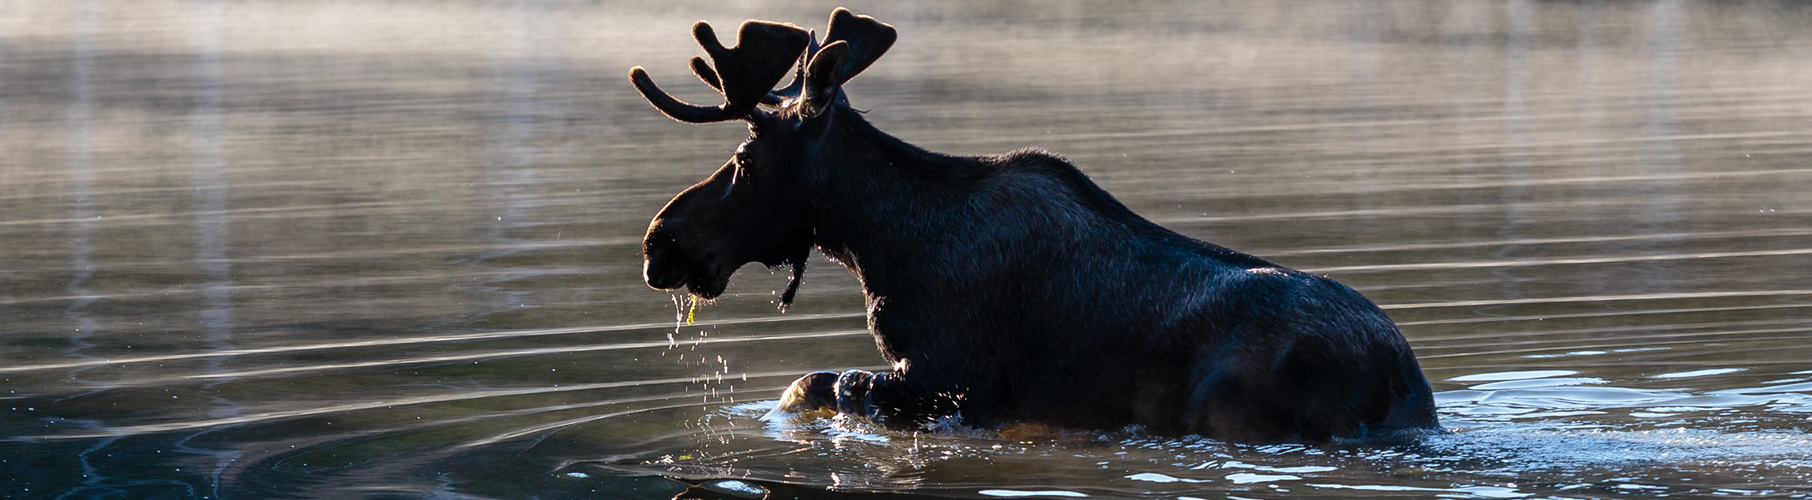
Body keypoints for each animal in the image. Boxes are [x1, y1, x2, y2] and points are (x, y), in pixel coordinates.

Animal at [630, 7, 1435, 442]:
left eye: (745, 157)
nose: (658, 241)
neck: (879, 242)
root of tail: (1403, 383)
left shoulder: (949, 380)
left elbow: (815, 384)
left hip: (1228, 405)